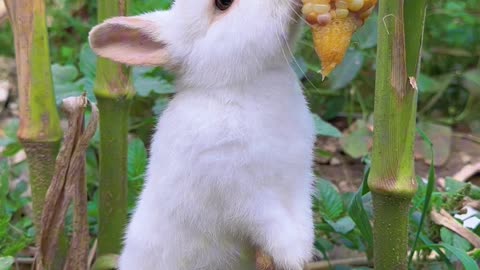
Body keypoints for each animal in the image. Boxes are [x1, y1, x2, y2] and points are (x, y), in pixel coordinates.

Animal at [89, 0, 316, 270]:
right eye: (223, 4)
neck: (239, 86)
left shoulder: (300, 179)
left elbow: (303, 216)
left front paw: (304, 250)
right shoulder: (241, 194)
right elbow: (270, 223)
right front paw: (293, 256)